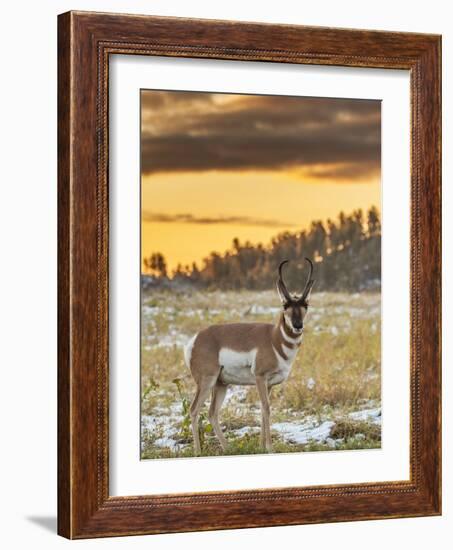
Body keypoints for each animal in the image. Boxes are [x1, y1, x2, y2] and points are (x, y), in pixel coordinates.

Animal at [184, 258, 314, 458]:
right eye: (285, 305)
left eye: (305, 305)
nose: (298, 325)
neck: (274, 339)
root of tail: (196, 339)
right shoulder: (260, 377)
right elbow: (266, 408)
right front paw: (270, 448)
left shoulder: (269, 384)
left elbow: (262, 410)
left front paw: (261, 447)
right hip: (207, 381)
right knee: (194, 409)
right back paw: (198, 452)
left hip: (221, 384)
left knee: (212, 413)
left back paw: (228, 448)